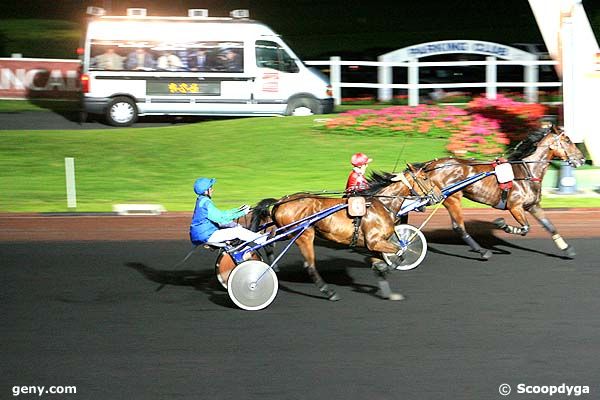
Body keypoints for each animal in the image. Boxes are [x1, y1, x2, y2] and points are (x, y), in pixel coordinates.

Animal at [251, 165, 428, 300]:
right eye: (425, 178)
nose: (431, 197)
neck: (381, 204)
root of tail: (280, 201)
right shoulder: (374, 242)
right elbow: (401, 252)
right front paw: (390, 267)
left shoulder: (373, 245)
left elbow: (380, 264)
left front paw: (389, 293)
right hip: (304, 234)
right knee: (309, 265)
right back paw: (329, 292)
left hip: (289, 232)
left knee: (269, 239)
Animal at [414, 125, 584, 260]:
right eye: (567, 140)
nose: (581, 159)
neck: (527, 171)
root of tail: (430, 165)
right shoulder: (515, 207)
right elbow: (525, 228)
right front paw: (503, 225)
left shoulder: (533, 206)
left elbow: (550, 226)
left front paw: (567, 249)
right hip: (452, 198)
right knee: (459, 227)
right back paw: (482, 251)